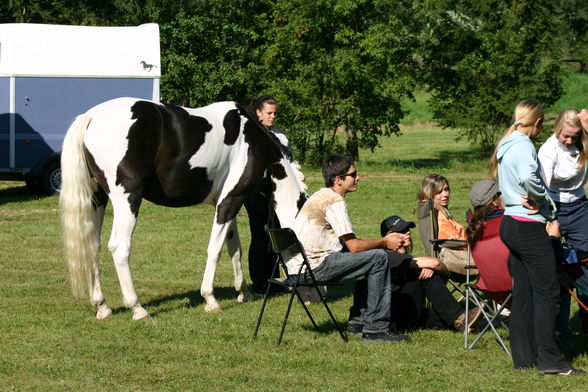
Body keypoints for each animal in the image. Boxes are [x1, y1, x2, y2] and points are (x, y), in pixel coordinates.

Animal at [59, 97, 308, 318]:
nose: (308, 296)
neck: (254, 145)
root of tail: (91, 117)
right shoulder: (230, 202)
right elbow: (215, 250)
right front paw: (210, 300)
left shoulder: (226, 205)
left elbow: (234, 248)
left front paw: (244, 292)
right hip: (127, 200)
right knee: (120, 247)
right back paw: (138, 309)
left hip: (97, 200)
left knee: (93, 247)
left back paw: (103, 307)